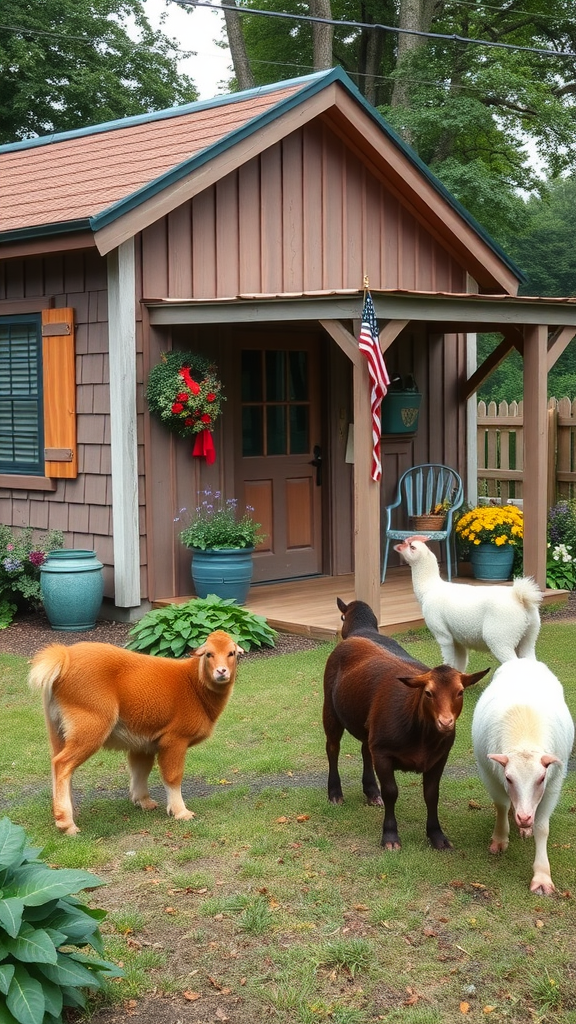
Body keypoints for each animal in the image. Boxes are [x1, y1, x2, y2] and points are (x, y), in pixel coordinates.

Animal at [28, 626, 241, 835]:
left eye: (231, 653)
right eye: (209, 654)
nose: (221, 671)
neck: (194, 684)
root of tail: (64, 656)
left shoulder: (144, 743)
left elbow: (141, 770)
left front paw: (143, 801)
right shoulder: (174, 740)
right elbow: (173, 776)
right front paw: (181, 811)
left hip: (57, 730)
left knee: (58, 764)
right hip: (90, 727)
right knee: (62, 764)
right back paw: (67, 823)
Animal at [323, 638, 483, 847]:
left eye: (460, 692)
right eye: (428, 693)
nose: (445, 722)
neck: (422, 737)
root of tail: (352, 639)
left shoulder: (440, 756)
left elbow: (432, 794)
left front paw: (437, 836)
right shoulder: (383, 752)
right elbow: (391, 792)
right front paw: (390, 837)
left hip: (369, 727)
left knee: (365, 749)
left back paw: (372, 793)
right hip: (330, 708)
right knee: (333, 748)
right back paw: (335, 793)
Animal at [391, 536, 541, 671]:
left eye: (411, 546)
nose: (398, 545)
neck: (429, 588)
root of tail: (520, 596)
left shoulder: (443, 634)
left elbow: (448, 661)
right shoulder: (458, 640)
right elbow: (460, 664)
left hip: (500, 638)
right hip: (529, 636)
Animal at [469, 659, 569, 892]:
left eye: (541, 779)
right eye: (509, 778)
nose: (524, 818)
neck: (524, 737)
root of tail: (520, 660)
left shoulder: (553, 786)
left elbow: (542, 828)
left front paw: (542, 876)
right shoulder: (490, 775)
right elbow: (501, 806)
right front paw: (499, 839)